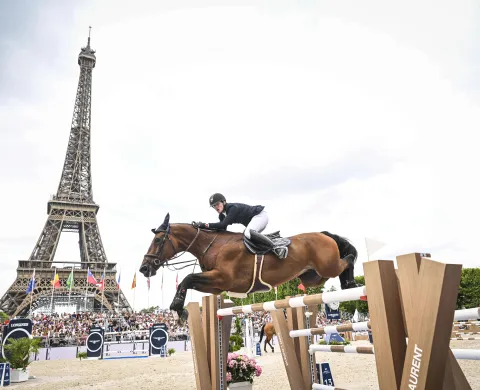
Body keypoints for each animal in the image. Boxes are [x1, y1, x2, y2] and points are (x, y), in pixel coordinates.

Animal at [139, 213, 356, 320]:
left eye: (158, 240)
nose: (144, 269)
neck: (214, 245)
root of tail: (324, 234)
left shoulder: (223, 278)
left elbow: (187, 278)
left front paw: (177, 308)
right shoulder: (216, 286)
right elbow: (189, 281)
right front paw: (180, 310)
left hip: (328, 266)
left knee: (349, 258)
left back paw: (351, 284)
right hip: (313, 277)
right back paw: (348, 284)